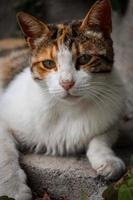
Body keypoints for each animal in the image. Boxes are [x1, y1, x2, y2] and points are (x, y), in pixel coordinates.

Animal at [0, 0, 125, 199]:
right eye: (48, 63)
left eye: (85, 58)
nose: (67, 83)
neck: (67, 109)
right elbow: (4, 154)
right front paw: (13, 189)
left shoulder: (112, 113)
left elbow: (102, 136)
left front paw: (107, 160)